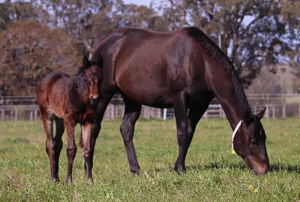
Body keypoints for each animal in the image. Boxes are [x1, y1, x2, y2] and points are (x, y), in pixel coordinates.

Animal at [37, 55, 103, 183]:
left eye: (101, 78)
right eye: (87, 79)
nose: (95, 99)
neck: (81, 98)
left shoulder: (88, 122)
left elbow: (88, 151)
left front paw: (90, 180)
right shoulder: (70, 120)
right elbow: (71, 149)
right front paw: (69, 181)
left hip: (60, 120)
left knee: (57, 144)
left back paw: (57, 178)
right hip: (47, 116)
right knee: (50, 144)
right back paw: (52, 178)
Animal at [91, 26, 270, 175]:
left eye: (264, 137)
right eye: (252, 140)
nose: (264, 169)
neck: (201, 62)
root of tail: (99, 43)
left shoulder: (201, 104)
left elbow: (190, 132)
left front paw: (177, 165)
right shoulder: (179, 98)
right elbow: (182, 133)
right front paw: (181, 169)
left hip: (131, 98)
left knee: (126, 129)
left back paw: (135, 169)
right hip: (103, 94)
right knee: (94, 127)